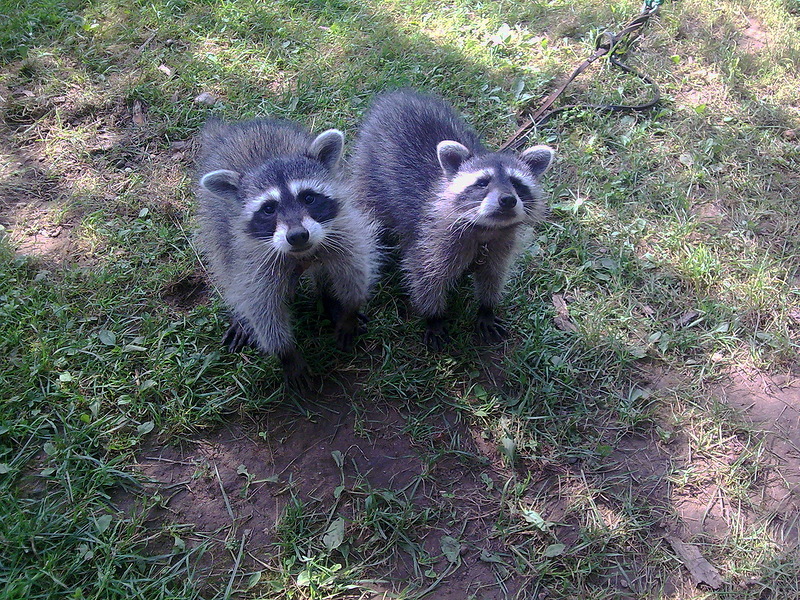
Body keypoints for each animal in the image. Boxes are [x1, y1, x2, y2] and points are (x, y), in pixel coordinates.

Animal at [195, 116, 380, 380]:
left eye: (308, 198)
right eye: (268, 209)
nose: (297, 235)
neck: (302, 253)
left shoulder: (344, 229)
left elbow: (354, 269)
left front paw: (348, 310)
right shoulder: (253, 257)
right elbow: (261, 305)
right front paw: (286, 353)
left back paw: (329, 298)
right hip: (214, 223)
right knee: (226, 266)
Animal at [352, 91, 556, 350]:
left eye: (517, 184)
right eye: (482, 183)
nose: (508, 200)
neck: (486, 229)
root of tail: (396, 95)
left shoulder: (501, 245)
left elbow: (493, 274)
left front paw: (487, 306)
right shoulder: (432, 238)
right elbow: (424, 278)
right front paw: (434, 316)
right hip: (368, 173)